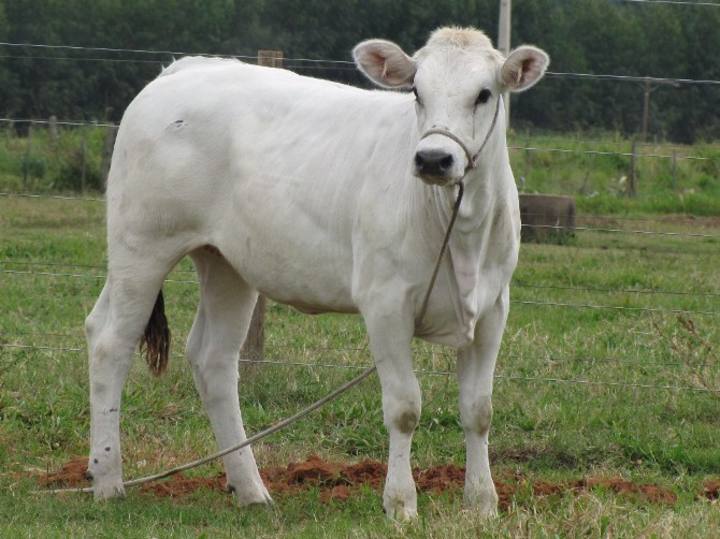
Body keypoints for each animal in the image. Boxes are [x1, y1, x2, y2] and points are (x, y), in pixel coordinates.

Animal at [86, 27, 544, 520]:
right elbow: (404, 407)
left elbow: (479, 410)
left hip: (226, 264)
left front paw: (482, 503)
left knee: (212, 359)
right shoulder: (385, 303)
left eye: (484, 94)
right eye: (417, 91)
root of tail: (185, 68)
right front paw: (401, 504)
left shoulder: (493, 307)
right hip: (141, 245)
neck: (459, 233)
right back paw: (108, 480)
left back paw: (250, 488)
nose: (433, 159)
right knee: (111, 342)